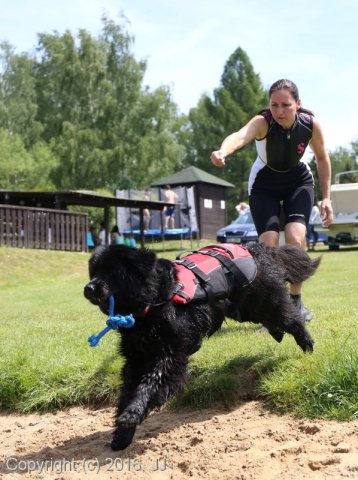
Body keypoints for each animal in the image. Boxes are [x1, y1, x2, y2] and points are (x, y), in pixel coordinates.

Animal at [84, 244, 318, 450]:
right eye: (94, 272)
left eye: (114, 272)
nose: (88, 288)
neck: (153, 303)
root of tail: (255, 248)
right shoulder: (135, 358)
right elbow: (128, 390)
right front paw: (122, 435)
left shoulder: (171, 353)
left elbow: (151, 383)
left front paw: (132, 413)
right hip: (245, 308)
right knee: (275, 319)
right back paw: (277, 333)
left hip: (262, 300)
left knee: (290, 317)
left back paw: (307, 344)